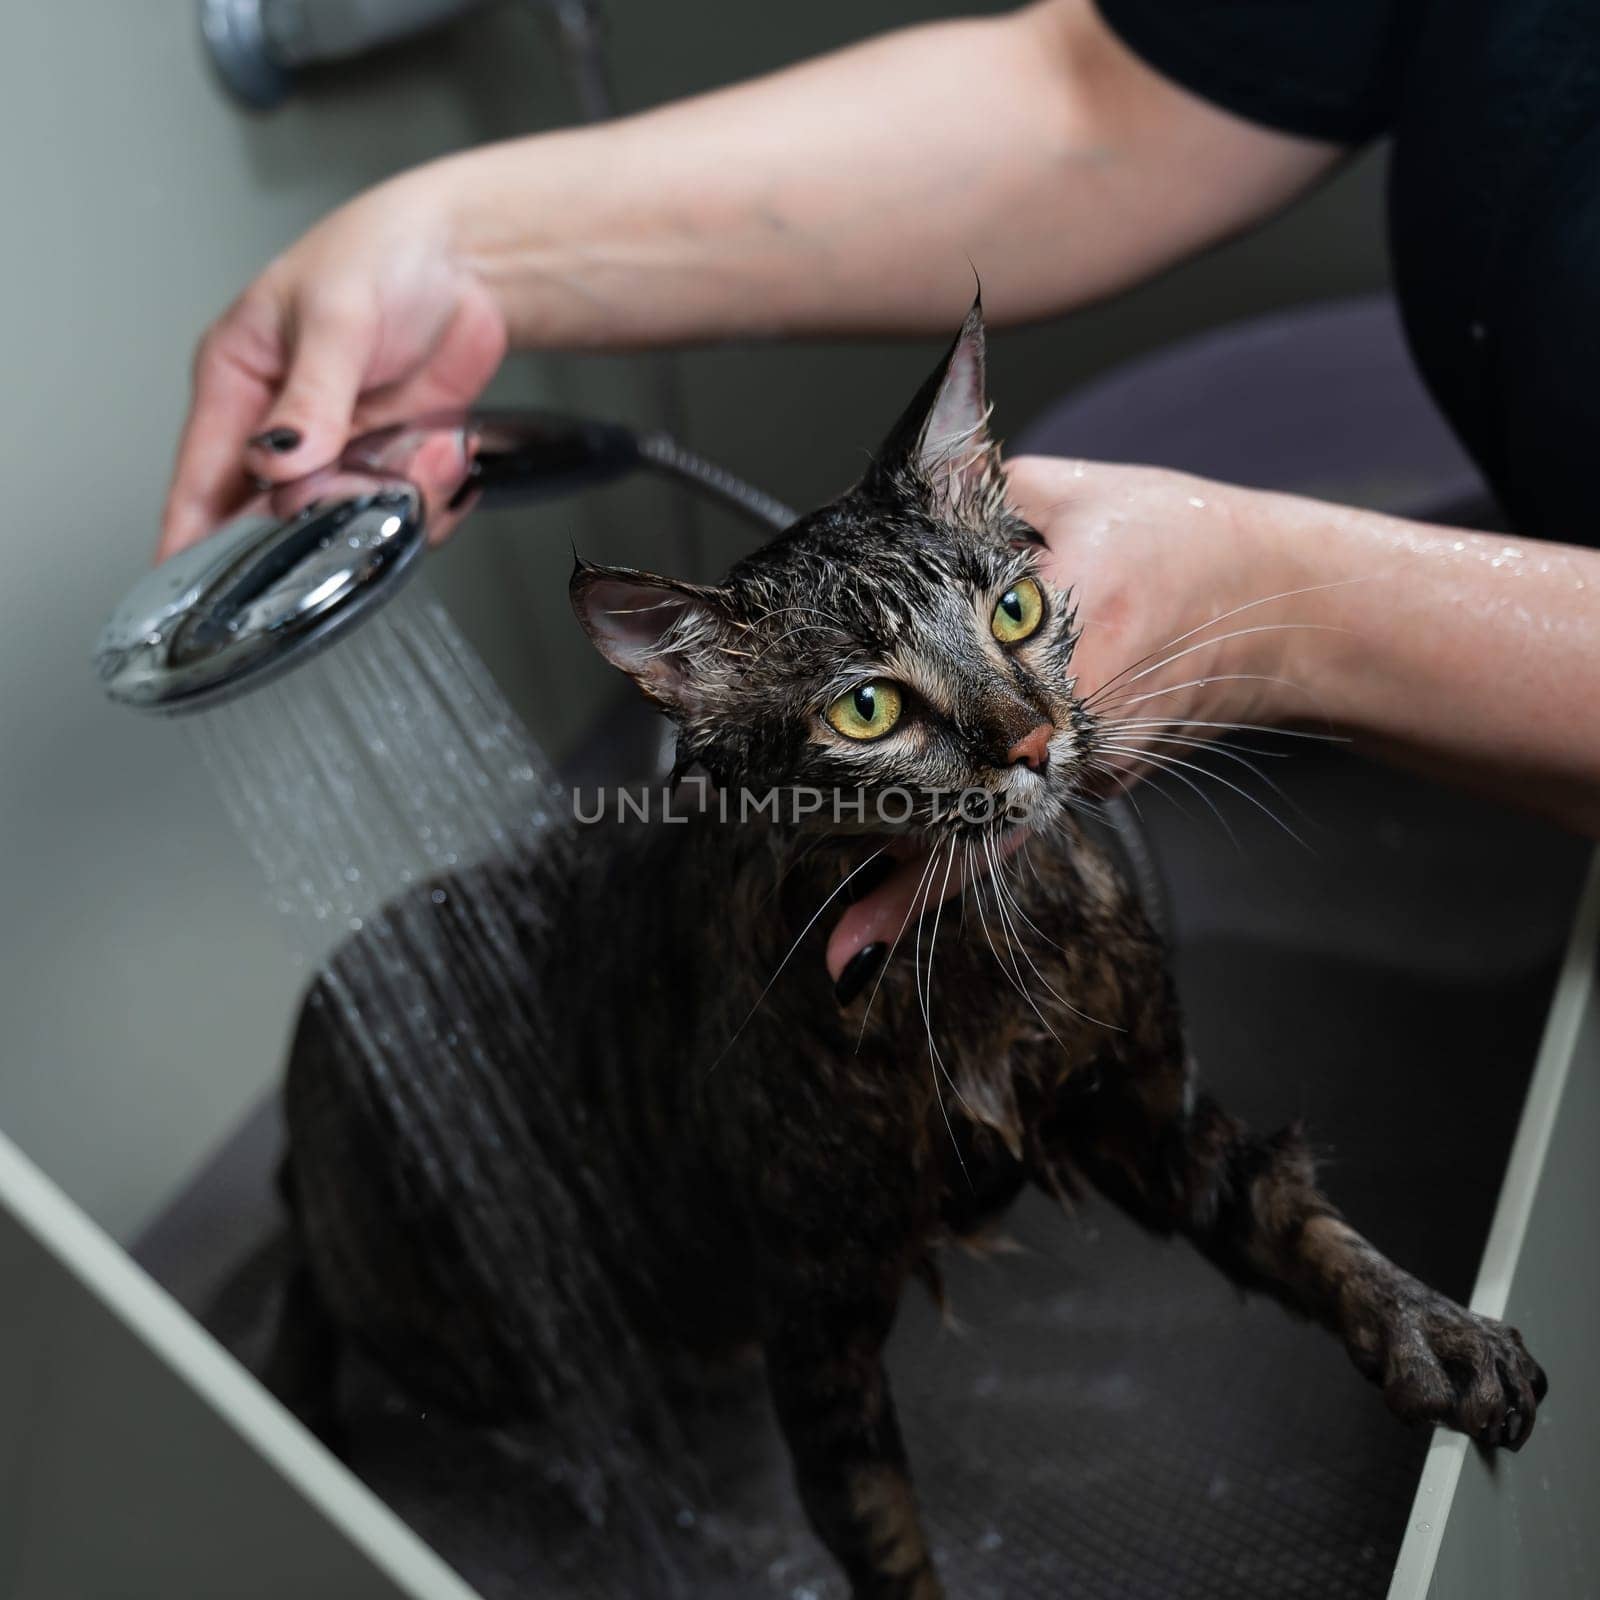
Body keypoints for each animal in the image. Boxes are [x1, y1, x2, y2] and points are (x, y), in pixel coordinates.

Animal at [278, 302, 1548, 1600]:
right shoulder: (814, 1317)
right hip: (474, 1319)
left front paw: (1433, 1331)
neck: (975, 954)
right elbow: (880, 1532)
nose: (1033, 741)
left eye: (1013, 613)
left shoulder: (1147, 1113)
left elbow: (1296, 1218)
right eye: (869, 710)